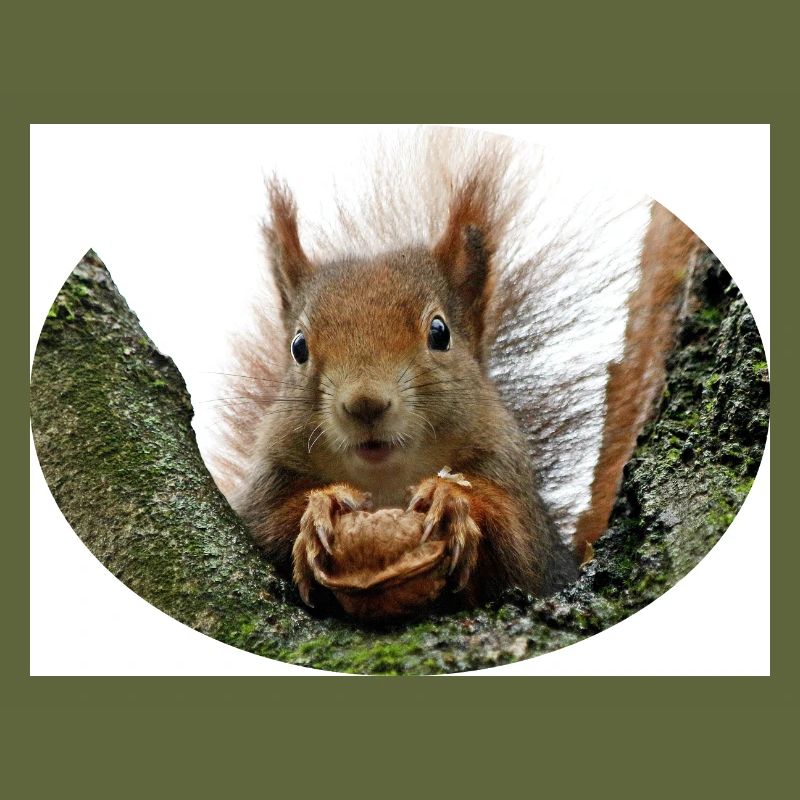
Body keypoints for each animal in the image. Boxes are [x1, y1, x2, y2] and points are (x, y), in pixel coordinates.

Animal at [211, 128, 701, 611]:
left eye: (439, 333)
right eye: (298, 347)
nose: (366, 404)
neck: (387, 484)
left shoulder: (520, 510)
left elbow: (516, 545)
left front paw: (452, 499)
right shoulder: (264, 493)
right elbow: (265, 529)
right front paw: (322, 506)